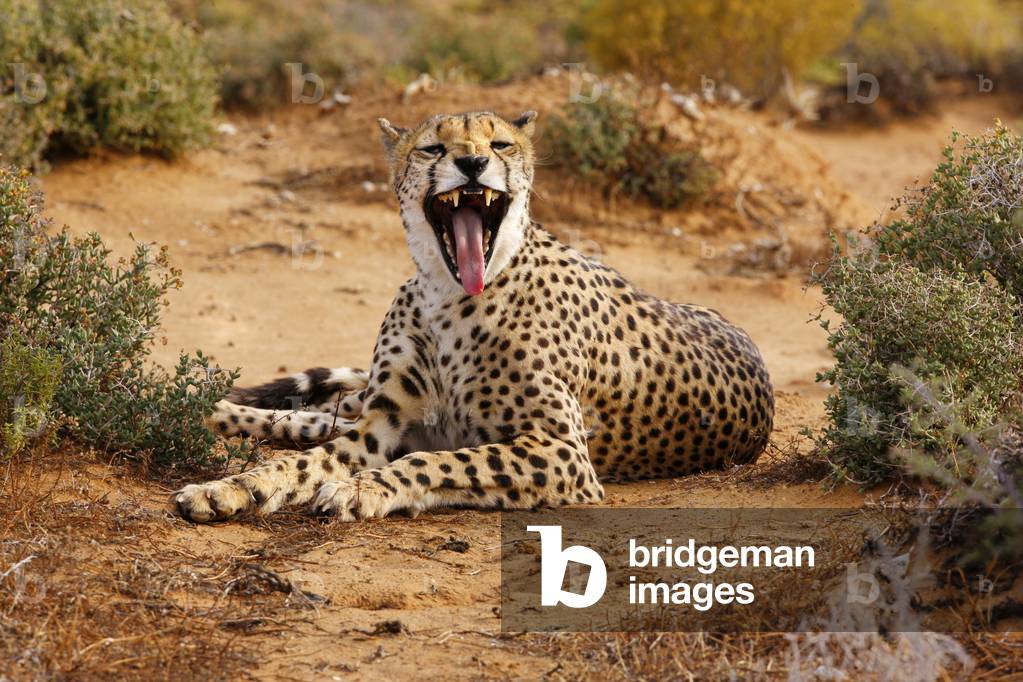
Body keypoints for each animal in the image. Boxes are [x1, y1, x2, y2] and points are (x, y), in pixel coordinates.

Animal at [172, 110, 774, 523]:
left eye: (499, 143)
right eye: (433, 147)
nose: (472, 164)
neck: (449, 295)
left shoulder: (561, 451)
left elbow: (439, 460)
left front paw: (363, 488)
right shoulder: (378, 427)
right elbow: (299, 463)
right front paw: (229, 487)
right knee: (317, 418)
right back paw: (217, 410)